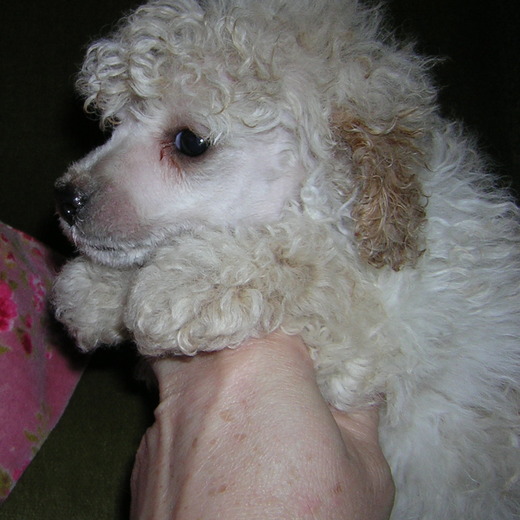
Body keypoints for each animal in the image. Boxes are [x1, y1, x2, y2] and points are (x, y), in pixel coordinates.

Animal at [52, 2, 520, 516]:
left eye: (189, 143)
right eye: (115, 122)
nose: (66, 200)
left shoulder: (380, 342)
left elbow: (308, 264)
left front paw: (188, 282)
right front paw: (95, 291)